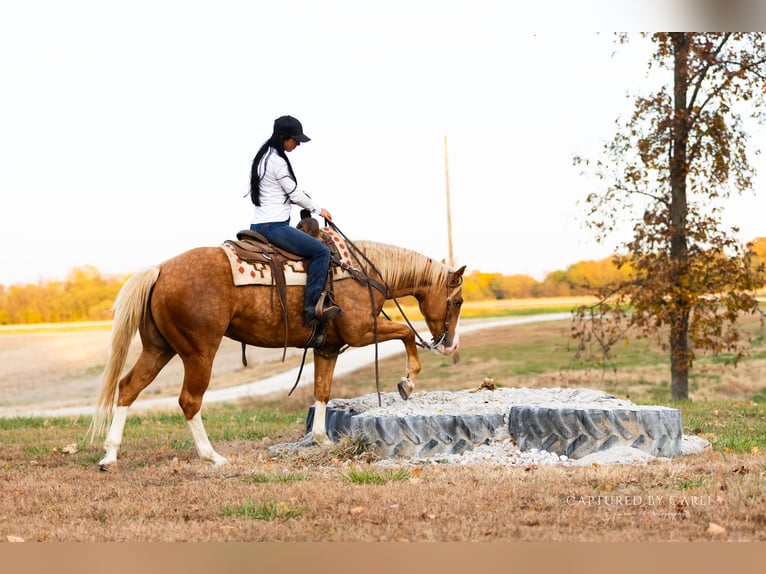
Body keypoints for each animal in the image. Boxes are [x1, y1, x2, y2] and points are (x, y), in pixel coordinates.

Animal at [89, 233, 466, 467]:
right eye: (458, 300)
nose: (451, 345)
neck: (361, 272)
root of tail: (160, 270)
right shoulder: (361, 332)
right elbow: (406, 332)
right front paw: (407, 382)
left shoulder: (328, 348)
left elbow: (322, 390)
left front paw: (323, 441)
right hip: (199, 352)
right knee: (189, 400)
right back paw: (212, 456)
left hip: (159, 348)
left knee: (128, 388)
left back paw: (110, 456)